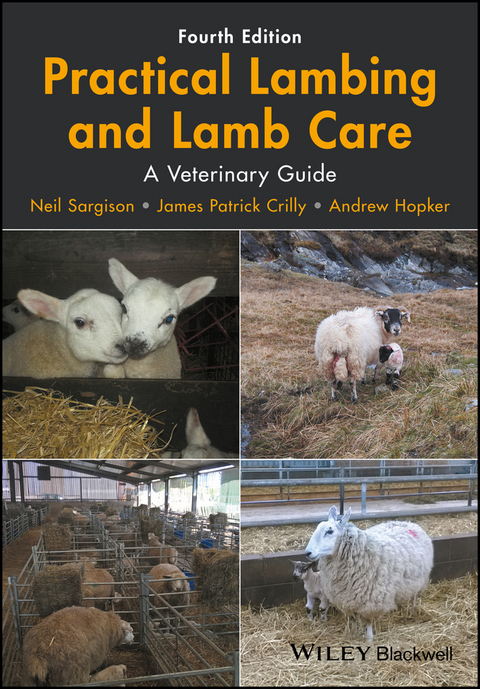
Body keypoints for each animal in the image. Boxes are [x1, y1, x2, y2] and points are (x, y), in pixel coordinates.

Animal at [305, 505, 433, 641]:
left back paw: (413, 610)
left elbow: (368, 620)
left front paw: (369, 638)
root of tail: (408, 523)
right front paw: (354, 631)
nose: (307, 553)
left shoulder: (371, 600)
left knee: (414, 596)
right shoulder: (348, 598)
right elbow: (354, 618)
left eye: (329, 532)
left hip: (419, 580)